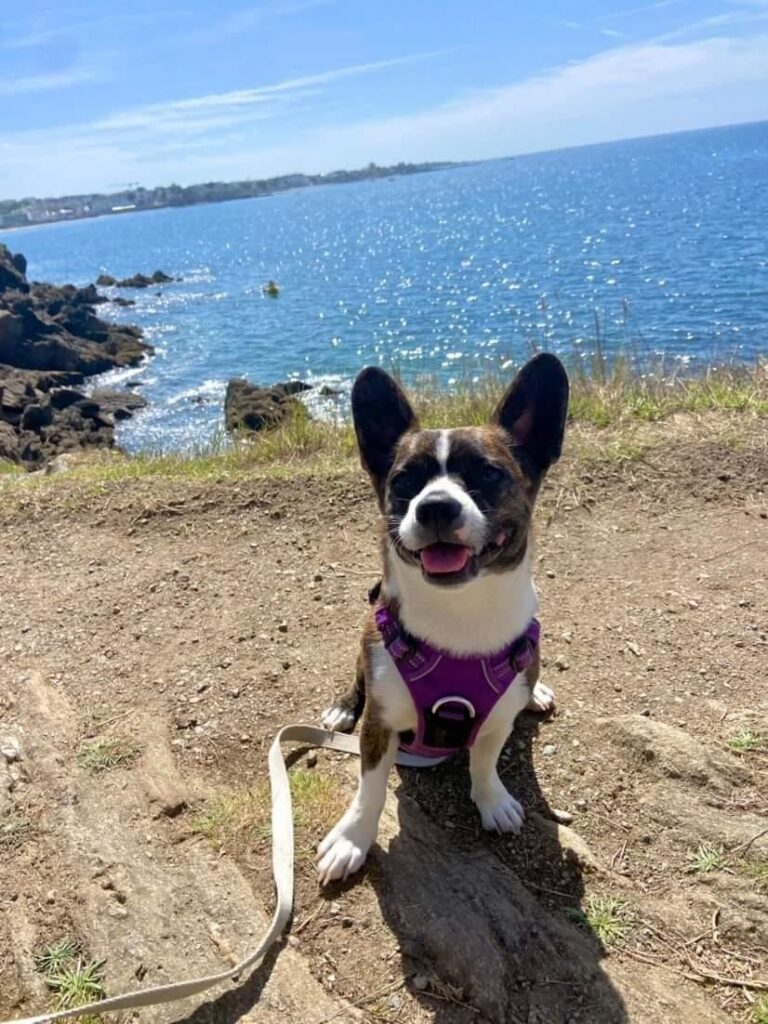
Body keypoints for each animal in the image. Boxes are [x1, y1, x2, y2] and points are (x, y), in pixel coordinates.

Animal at [315, 352, 569, 880]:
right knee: (356, 680)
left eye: (488, 474)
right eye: (405, 482)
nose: (434, 506)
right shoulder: (380, 725)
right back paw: (342, 705)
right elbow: (370, 788)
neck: (460, 609)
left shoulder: (495, 721)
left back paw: (536, 692)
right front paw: (353, 838)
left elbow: (484, 761)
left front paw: (492, 801)